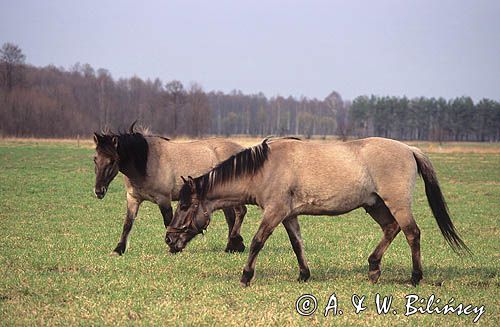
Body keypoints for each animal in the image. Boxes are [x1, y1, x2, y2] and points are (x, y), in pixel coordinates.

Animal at [93, 125, 247, 256]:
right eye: (95, 159)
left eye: (112, 161)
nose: (98, 191)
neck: (147, 162)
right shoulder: (133, 198)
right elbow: (127, 224)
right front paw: (118, 249)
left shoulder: (164, 199)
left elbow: (168, 222)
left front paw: (173, 247)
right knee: (231, 217)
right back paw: (232, 246)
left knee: (240, 212)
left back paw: (235, 245)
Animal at [165, 137, 468, 286]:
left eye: (184, 205)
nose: (169, 238)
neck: (265, 168)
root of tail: (409, 148)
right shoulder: (288, 216)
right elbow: (297, 244)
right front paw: (304, 274)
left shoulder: (274, 212)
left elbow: (256, 242)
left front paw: (246, 276)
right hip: (375, 205)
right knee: (391, 229)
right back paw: (373, 269)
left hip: (397, 203)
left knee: (411, 233)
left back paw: (415, 277)